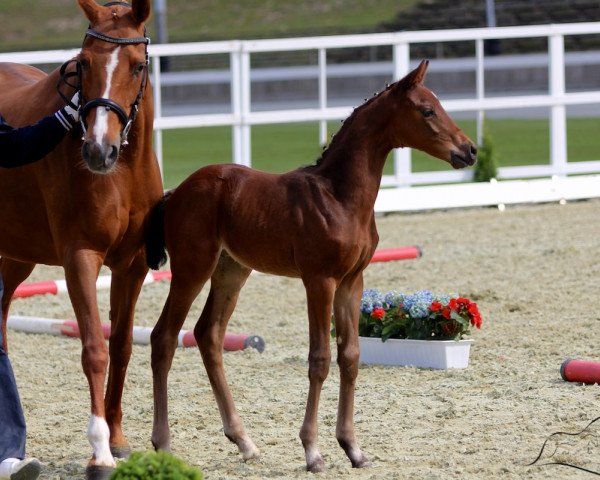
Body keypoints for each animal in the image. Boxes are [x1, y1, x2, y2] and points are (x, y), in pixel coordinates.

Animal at [0, 0, 163, 476]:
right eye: (84, 63)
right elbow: (94, 349)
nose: (98, 150)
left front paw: (119, 438)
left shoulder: (132, 266)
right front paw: (100, 451)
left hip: (17, 258)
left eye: (138, 64)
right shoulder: (81, 258)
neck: (121, 173)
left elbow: (122, 346)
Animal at [145, 60, 478, 472]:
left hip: (231, 271)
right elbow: (319, 360)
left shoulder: (352, 281)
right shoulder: (319, 280)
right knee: (163, 338)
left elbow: (350, 356)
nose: (469, 150)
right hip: (192, 269)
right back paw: (163, 444)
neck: (339, 197)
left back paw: (244, 441)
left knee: (208, 335)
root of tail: (176, 192)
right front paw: (313, 452)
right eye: (428, 110)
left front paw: (353, 448)